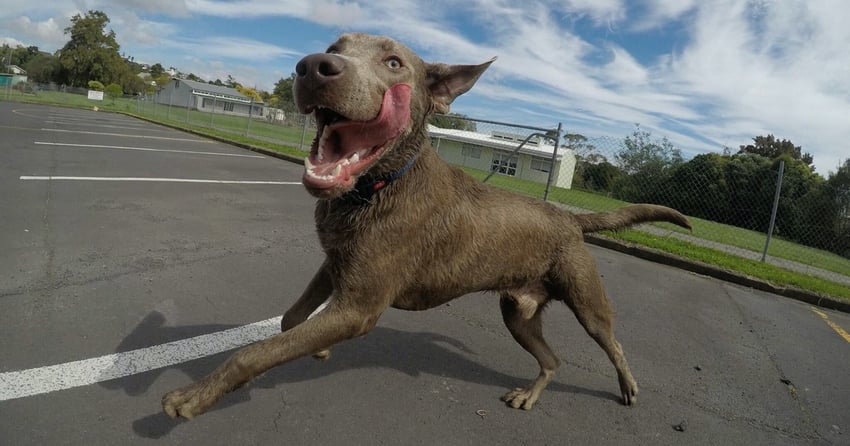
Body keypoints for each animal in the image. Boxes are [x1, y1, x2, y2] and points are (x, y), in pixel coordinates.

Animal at [161, 32, 688, 418]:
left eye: (394, 62)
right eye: (335, 47)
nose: (312, 66)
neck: (375, 188)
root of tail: (568, 215)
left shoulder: (359, 306)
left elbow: (254, 352)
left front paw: (193, 397)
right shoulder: (336, 264)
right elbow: (291, 321)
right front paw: (318, 350)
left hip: (587, 300)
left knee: (614, 343)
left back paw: (627, 386)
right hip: (518, 313)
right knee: (552, 360)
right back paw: (528, 394)